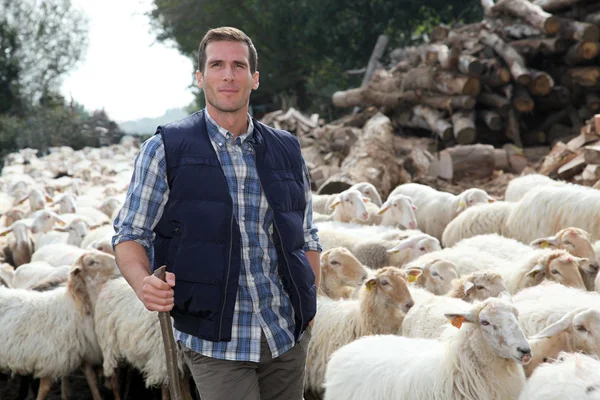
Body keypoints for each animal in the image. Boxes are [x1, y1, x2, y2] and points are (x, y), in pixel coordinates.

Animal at [0, 250, 119, 400]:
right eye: (92, 262)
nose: (120, 267)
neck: (75, 306)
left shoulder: (82, 351)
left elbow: (91, 379)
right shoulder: (50, 357)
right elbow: (45, 388)